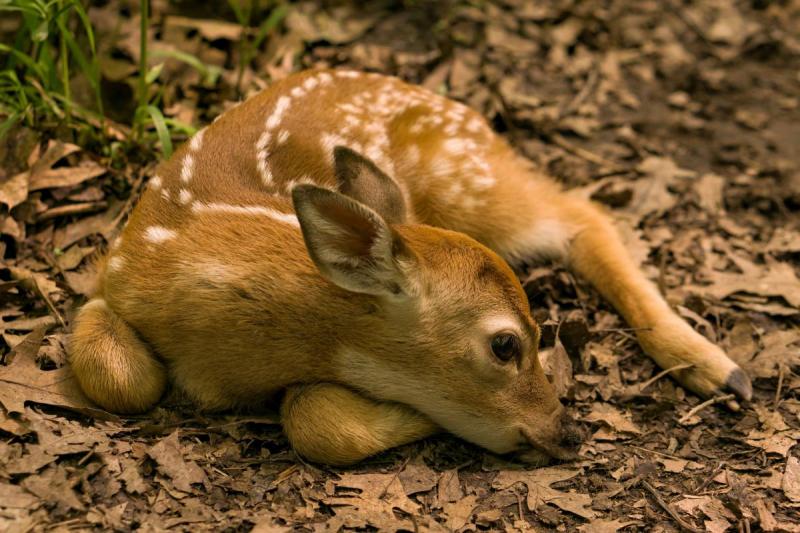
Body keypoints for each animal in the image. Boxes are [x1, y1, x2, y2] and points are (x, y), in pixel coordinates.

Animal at [68, 69, 752, 466]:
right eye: (506, 344)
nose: (568, 432)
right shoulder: (111, 277)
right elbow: (118, 378)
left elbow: (312, 420)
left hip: (467, 183)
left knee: (581, 212)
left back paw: (719, 369)